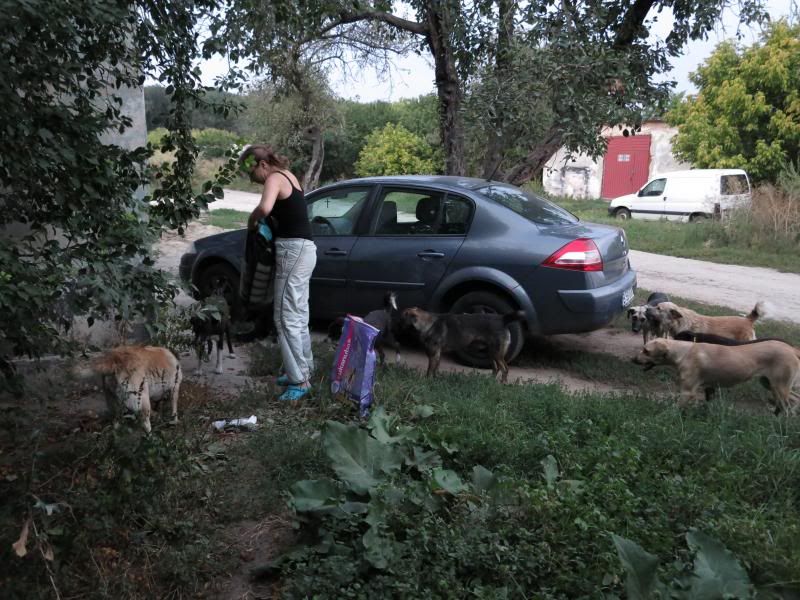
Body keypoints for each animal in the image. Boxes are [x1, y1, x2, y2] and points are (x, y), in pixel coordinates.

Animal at [632, 338, 800, 412]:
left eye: (646, 351)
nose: (632, 359)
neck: (684, 352)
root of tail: (791, 348)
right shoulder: (710, 388)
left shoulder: (687, 392)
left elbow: (673, 409)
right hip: (770, 384)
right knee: (794, 399)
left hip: (779, 387)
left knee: (788, 405)